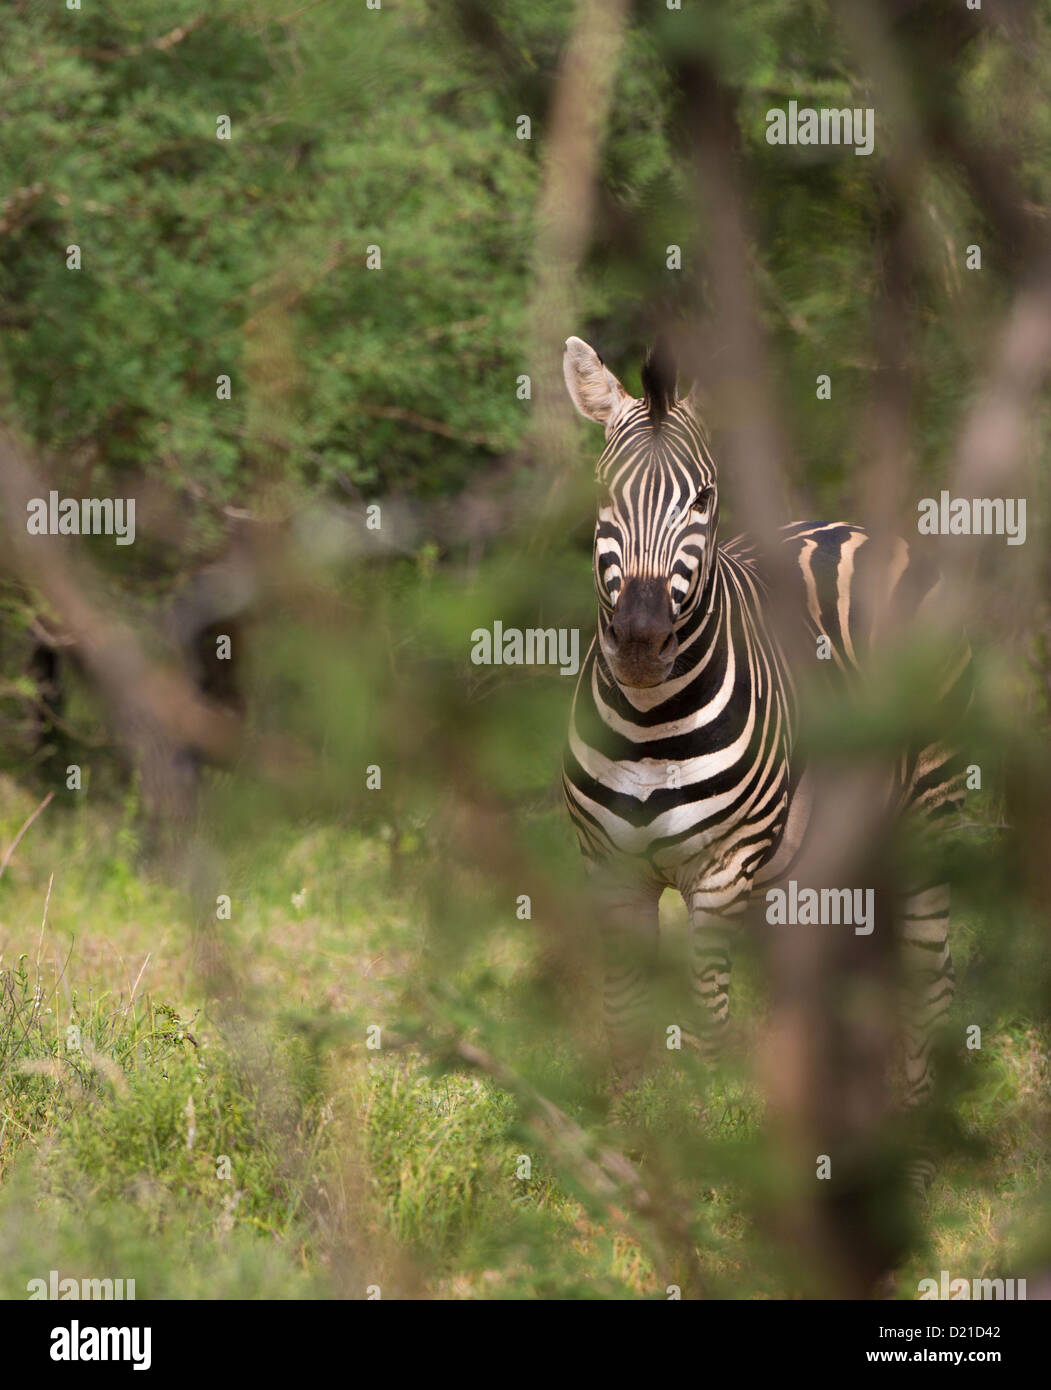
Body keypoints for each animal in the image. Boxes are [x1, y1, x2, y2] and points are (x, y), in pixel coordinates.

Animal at [558, 336, 967, 1173]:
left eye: (703, 499)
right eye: (606, 494)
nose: (640, 642)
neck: (648, 725)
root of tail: (851, 529)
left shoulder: (720, 876)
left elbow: (709, 1026)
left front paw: (709, 1156)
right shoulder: (608, 871)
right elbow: (624, 1017)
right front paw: (632, 1159)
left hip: (930, 813)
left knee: (928, 978)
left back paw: (917, 1149)